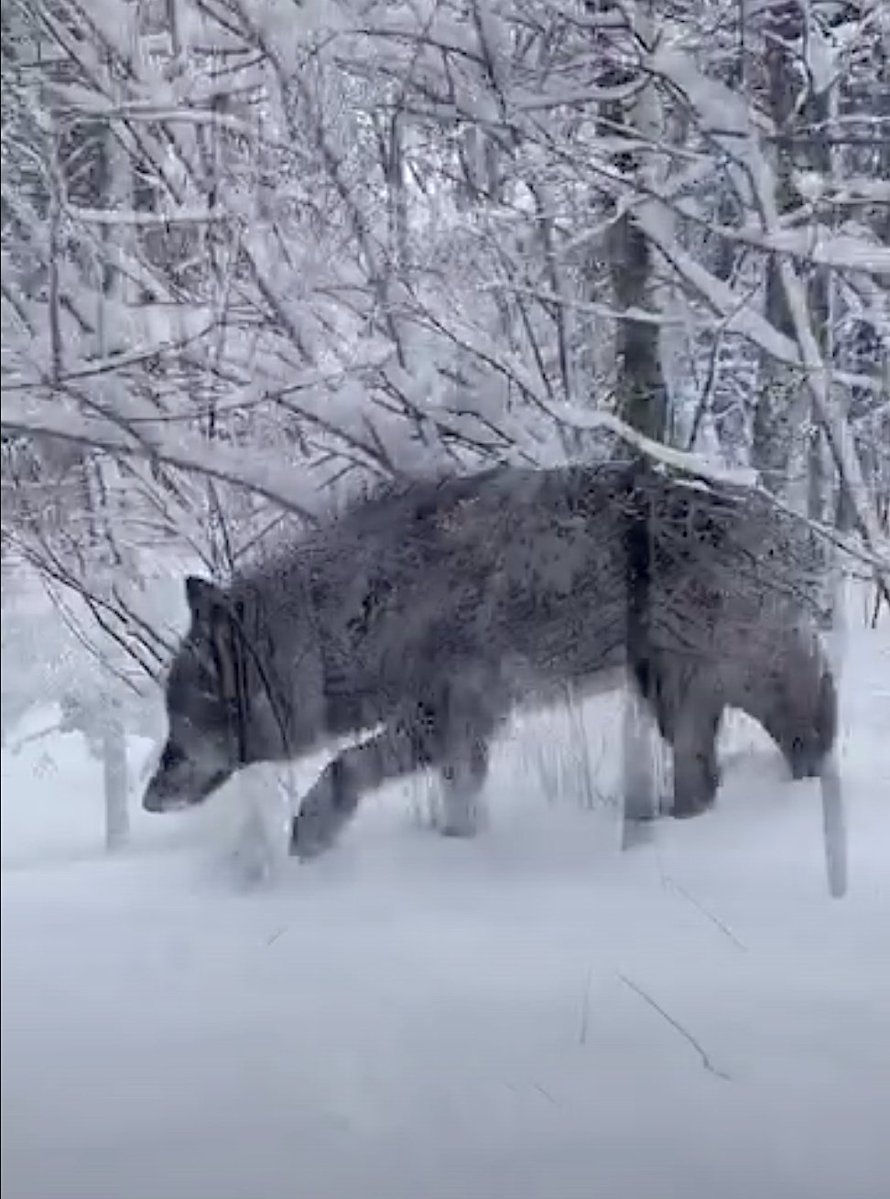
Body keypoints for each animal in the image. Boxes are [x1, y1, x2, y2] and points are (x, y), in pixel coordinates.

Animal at [143, 462, 836, 858]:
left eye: (181, 718)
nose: (148, 798)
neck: (356, 618)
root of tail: (785, 521)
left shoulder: (449, 716)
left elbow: (344, 767)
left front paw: (310, 838)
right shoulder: (461, 734)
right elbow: (458, 798)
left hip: (704, 679)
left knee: (797, 724)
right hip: (678, 690)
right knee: (731, 764)